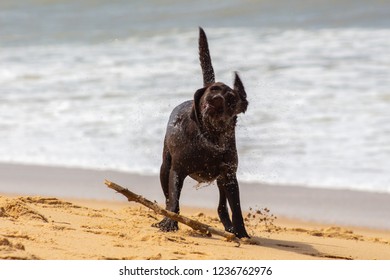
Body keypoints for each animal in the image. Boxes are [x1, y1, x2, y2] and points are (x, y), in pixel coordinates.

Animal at [153, 27, 250, 238]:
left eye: (231, 97)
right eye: (213, 90)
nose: (216, 100)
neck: (209, 140)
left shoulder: (230, 176)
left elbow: (237, 208)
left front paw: (241, 232)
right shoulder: (177, 171)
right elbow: (174, 200)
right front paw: (169, 222)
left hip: (222, 180)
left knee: (222, 207)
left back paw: (230, 228)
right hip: (165, 167)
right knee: (168, 198)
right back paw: (165, 218)